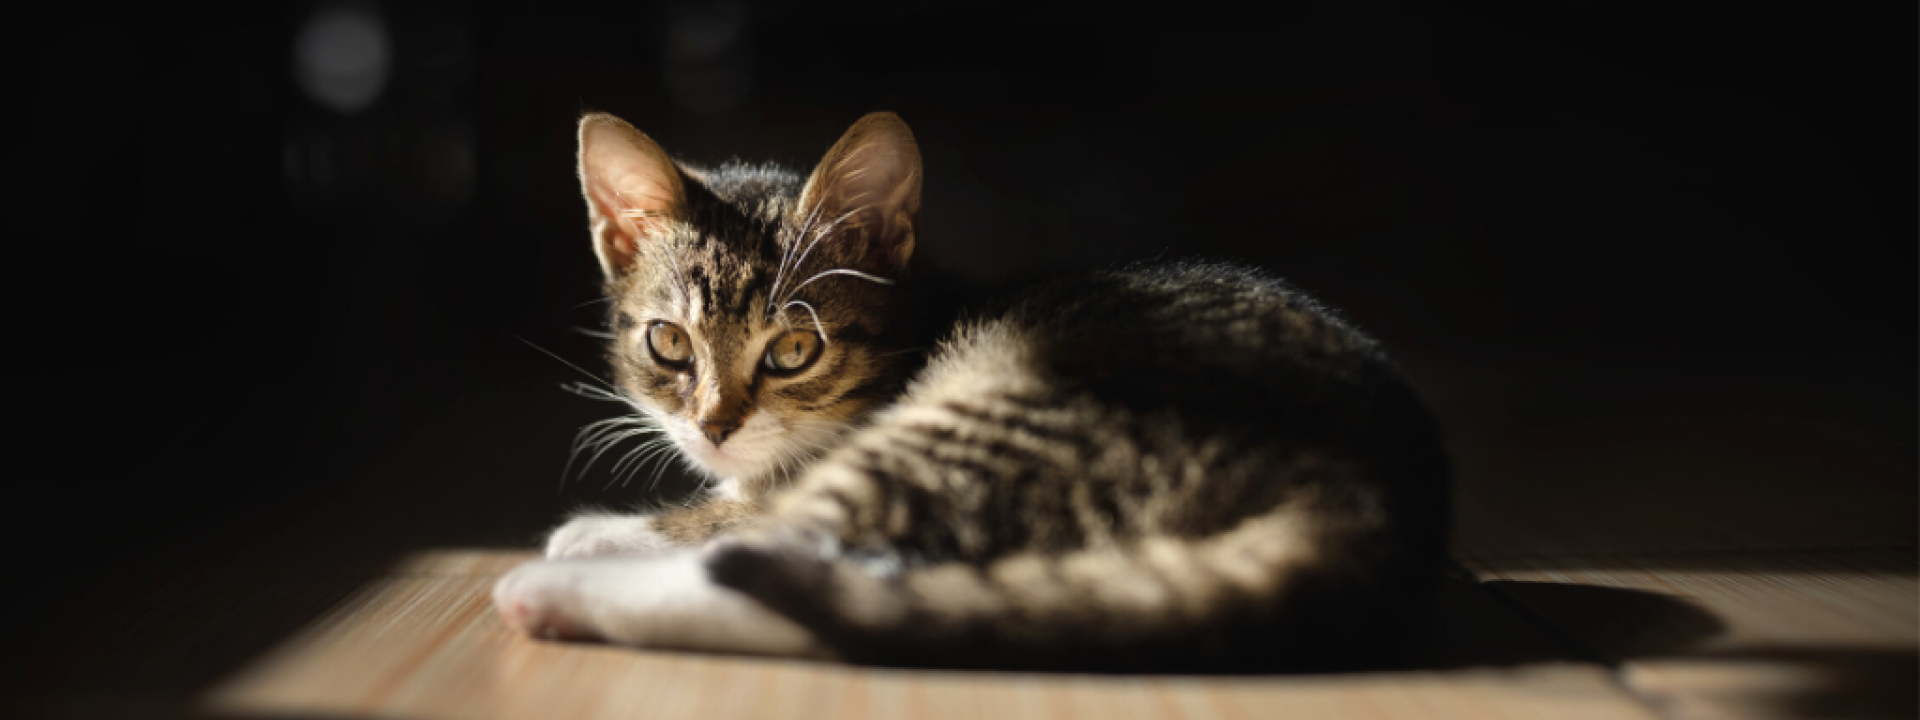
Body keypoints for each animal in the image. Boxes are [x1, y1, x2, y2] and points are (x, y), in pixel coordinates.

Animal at [495, 111, 1451, 672]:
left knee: (792, 571)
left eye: (795, 349)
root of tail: (1387, 489)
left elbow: (750, 510)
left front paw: (604, 529)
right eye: (669, 342)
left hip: (1005, 417)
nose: (714, 428)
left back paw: (561, 584)